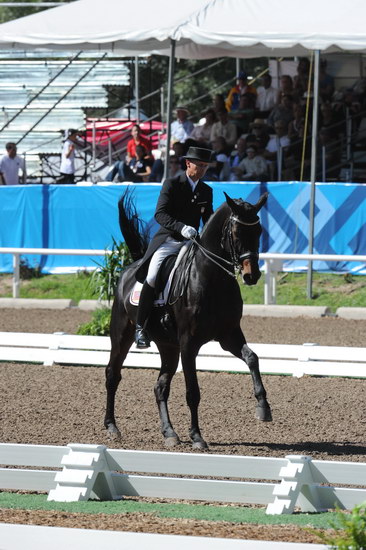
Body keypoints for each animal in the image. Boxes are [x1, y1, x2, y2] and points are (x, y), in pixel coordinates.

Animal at [104, 192, 270, 450]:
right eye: (235, 232)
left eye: (259, 231)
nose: (251, 276)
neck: (213, 278)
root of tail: (131, 269)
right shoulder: (188, 344)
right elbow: (193, 391)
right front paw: (197, 437)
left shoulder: (229, 335)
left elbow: (252, 358)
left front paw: (263, 408)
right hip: (122, 335)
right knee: (113, 375)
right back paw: (112, 427)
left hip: (168, 347)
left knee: (160, 387)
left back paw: (169, 433)